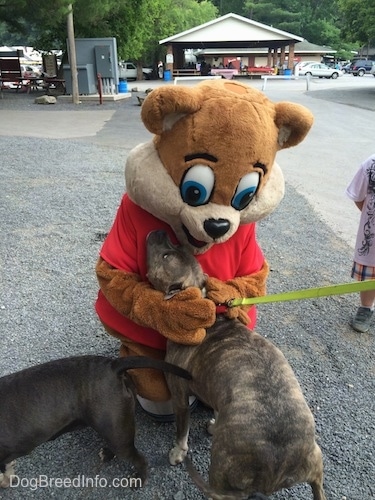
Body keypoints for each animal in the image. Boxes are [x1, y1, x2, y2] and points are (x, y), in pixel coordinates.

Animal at [0, 354, 191, 486]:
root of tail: (113, 366)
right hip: (113, 428)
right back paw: (107, 453)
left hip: (115, 431)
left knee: (140, 459)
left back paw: (138, 480)